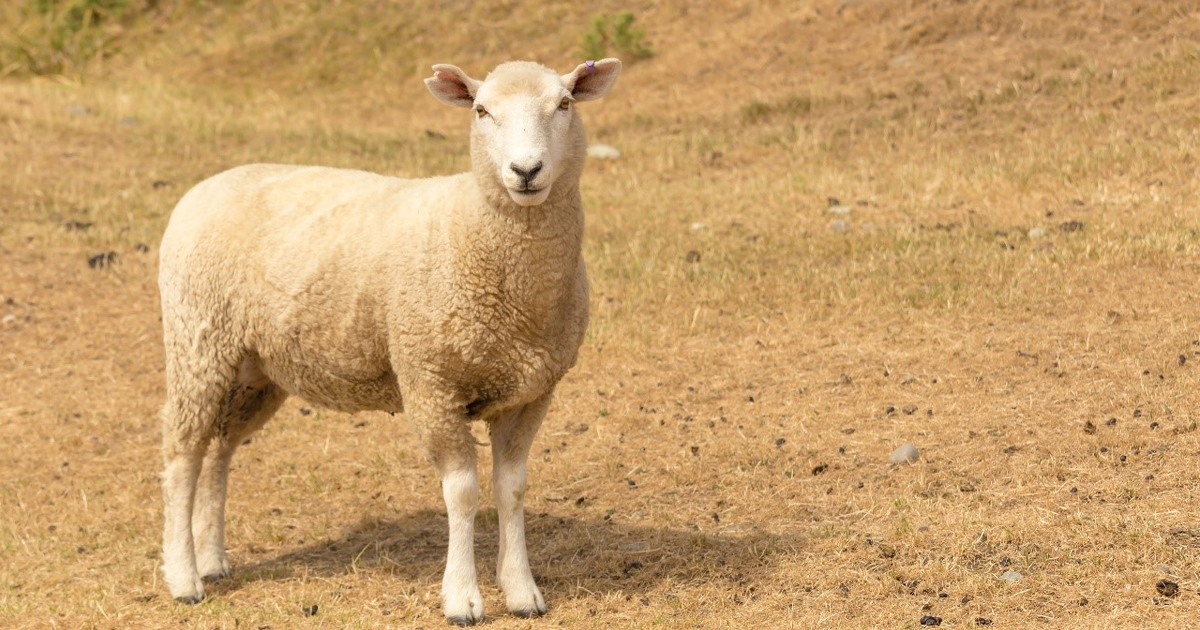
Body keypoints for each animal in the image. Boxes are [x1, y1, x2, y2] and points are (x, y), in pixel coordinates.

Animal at [156, 58, 624, 624]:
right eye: (481, 110)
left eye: (565, 104)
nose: (526, 170)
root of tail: (204, 186)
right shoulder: (430, 382)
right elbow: (462, 493)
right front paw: (462, 598)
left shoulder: (532, 392)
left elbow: (511, 488)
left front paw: (521, 590)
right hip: (197, 340)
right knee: (183, 454)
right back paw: (184, 577)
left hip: (253, 370)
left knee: (219, 450)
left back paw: (213, 559)